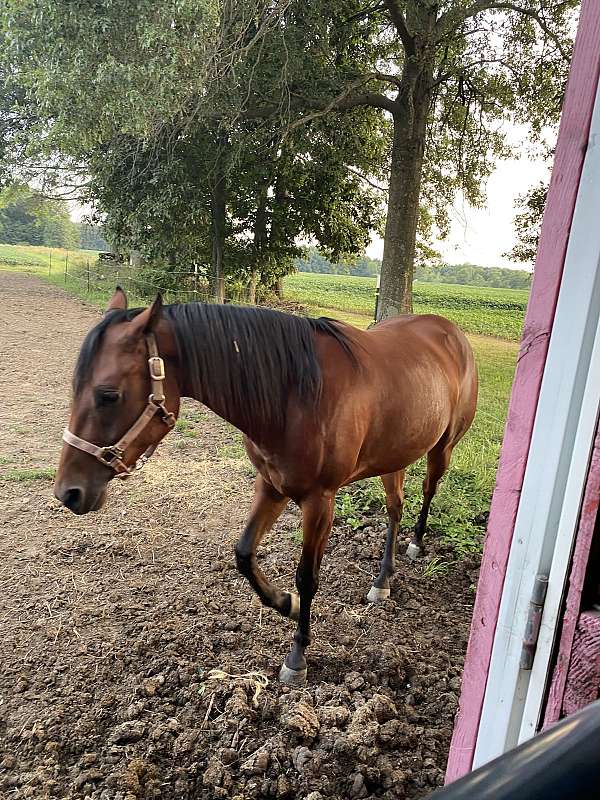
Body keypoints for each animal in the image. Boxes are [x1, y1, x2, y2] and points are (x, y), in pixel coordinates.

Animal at [54, 287, 478, 685]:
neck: (295, 395)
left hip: (442, 448)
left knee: (427, 492)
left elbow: (307, 577)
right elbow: (243, 553)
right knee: (394, 508)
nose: (68, 493)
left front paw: (297, 656)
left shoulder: (320, 501)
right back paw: (383, 580)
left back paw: (416, 544)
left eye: (109, 394)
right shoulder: (271, 486)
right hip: (396, 456)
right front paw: (284, 603)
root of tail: (452, 332)